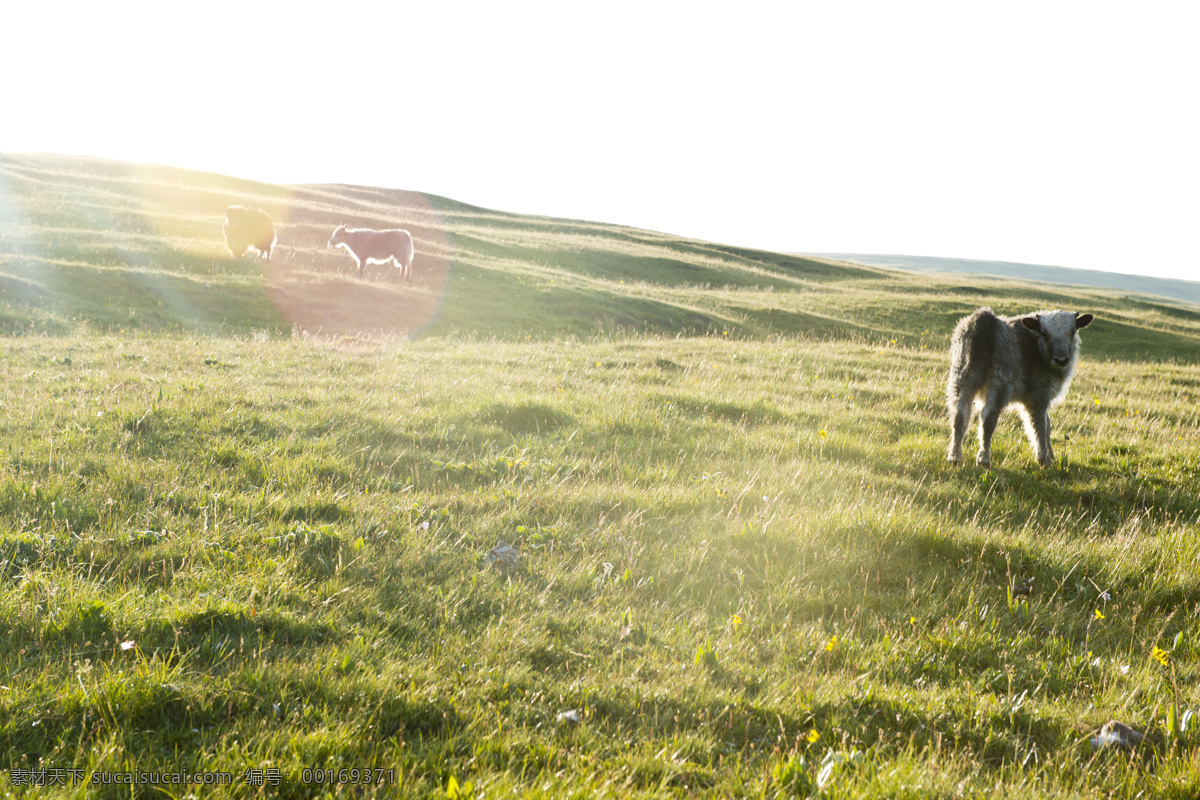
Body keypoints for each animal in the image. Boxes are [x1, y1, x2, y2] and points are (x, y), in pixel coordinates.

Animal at [945, 307, 1099, 470]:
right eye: (1044, 332)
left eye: (1073, 331)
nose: (1061, 359)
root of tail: (986, 320)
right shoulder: (1039, 396)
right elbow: (1040, 426)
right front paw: (1044, 459)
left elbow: (1047, 425)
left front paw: (1050, 456)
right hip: (999, 382)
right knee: (988, 418)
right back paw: (983, 459)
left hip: (962, 379)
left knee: (960, 416)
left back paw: (954, 457)